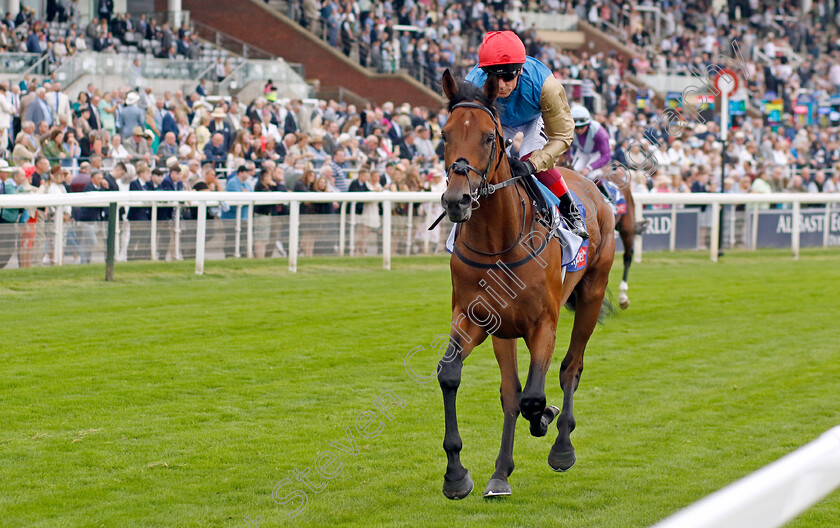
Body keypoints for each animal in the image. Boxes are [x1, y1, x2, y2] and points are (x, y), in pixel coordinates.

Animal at [436, 70, 612, 500]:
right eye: (445, 135)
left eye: (489, 137)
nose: (456, 200)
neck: (498, 240)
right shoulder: (477, 318)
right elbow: (455, 376)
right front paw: (457, 474)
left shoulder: (543, 322)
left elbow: (534, 397)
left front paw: (546, 419)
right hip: (505, 330)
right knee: (511, 391)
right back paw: (500, 473)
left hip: (592, 293)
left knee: (570, 368)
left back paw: (562, 445)